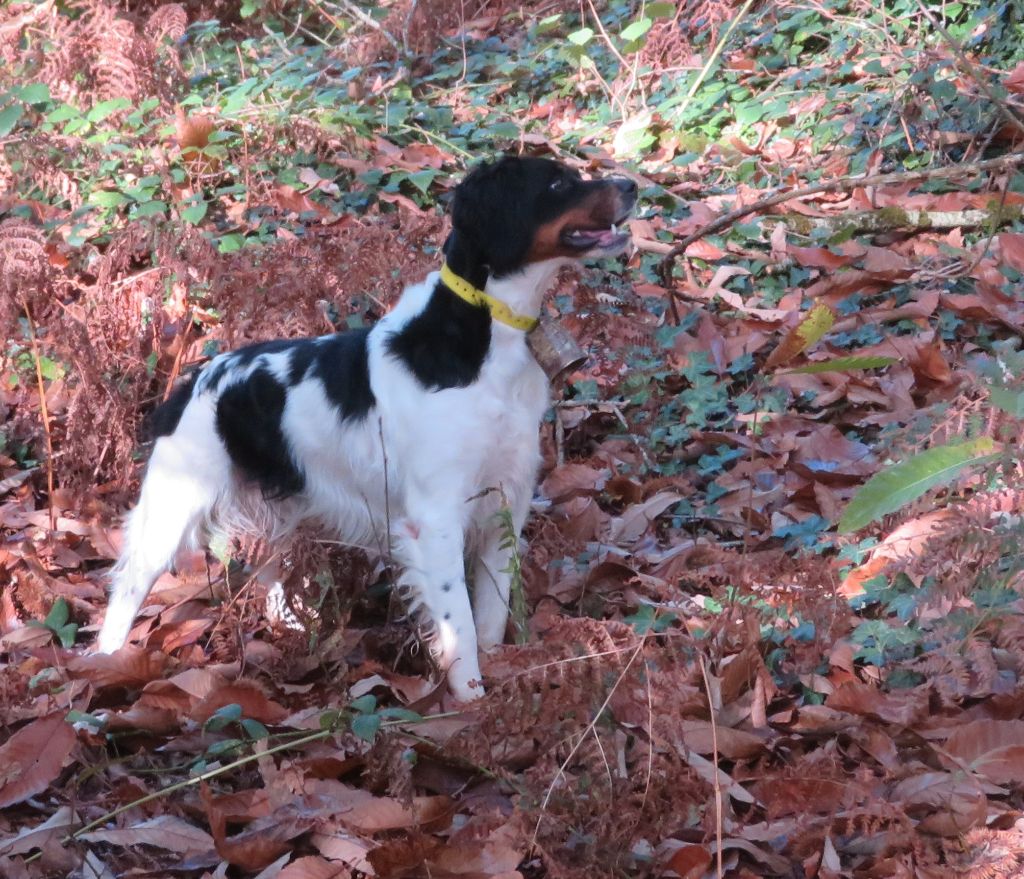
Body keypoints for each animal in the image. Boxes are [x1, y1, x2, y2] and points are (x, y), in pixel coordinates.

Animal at [97, 153, 638, 696]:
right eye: (557, 183)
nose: (632, 185)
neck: (484, 335)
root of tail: (194, 379)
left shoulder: (506, 498)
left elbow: (490, 612)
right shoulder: (436, 517)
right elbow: (459, 623)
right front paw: (471, 699)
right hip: (172, 508)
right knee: (127, 591)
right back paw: (102, 665)